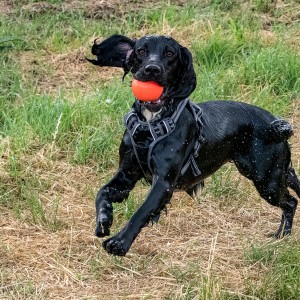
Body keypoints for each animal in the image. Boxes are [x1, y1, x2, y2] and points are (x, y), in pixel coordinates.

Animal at [88, 34, 298, 255]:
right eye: (141, 51)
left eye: (170, 53)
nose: (152, 69)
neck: (151, 125)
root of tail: (276, 123)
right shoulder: (127, 174)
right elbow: (102, 193)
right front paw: (104, 220)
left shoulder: (163, 182)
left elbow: (141, 212)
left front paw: (119, 242)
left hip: (267, 179)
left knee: (291, 202)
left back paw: (282, 235)